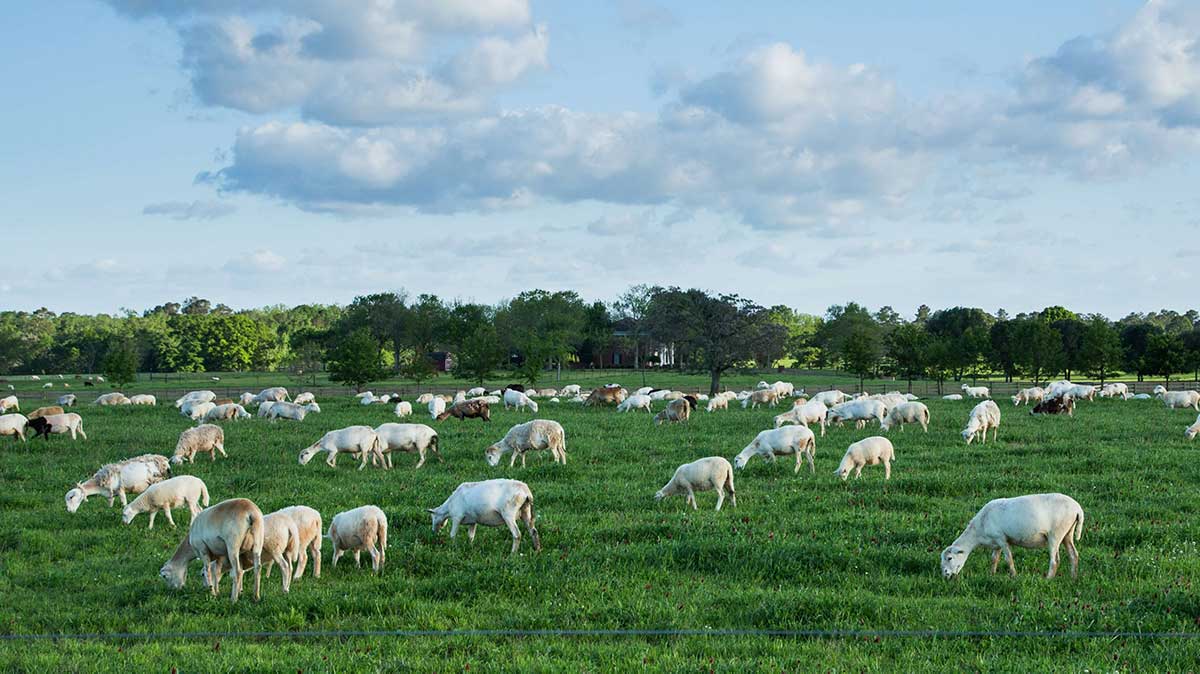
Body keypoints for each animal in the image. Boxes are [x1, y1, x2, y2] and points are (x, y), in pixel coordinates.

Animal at [936, 491, 1089, 580]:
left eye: (949, 558)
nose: (945, 575)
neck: (979, 531)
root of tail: (1077, 509)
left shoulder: (1001, 539)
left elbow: (1008, 559)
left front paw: (1014, 576)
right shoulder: (995, 543)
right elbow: (994, 559)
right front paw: (991, 574)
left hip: (1056, 533)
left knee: (1055, 560)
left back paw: (1048, 579)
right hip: (1067, 533)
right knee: (1073, 555)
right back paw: (1073, 577)